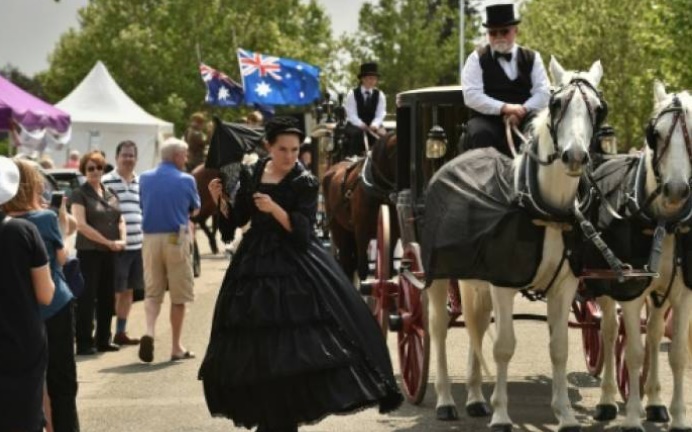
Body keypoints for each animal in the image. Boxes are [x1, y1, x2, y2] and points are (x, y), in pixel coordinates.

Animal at [322, 135, 398, 282]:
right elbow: (362, 269)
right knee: (346, 261)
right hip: (338, 229)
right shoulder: (361, 230)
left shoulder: (393, 233)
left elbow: (389, 269)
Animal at [430, 58, 604, 432]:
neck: (546, 209)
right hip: (436, 274)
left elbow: (559, 347)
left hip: (474, 277)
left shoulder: (565, 285)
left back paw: (475, 398)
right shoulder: (502, 283)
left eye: (599, 108)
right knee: (437, 329)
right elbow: (504, 347)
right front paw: (501, 415)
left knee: (477, 324)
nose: (575, 156)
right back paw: (445, 401)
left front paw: (565, 414)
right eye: (557, 103)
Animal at [596, 82, 692, 430]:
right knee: (609, 333)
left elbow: (676, 353)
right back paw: (607, 401)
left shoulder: (683, 293)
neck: (665, 221)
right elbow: (634, 352)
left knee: (652, 334)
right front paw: (633, 417)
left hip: (660, 290)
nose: (676, 189)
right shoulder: (630, 290)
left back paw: (656, 404)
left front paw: (677, 417)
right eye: (656, 134)